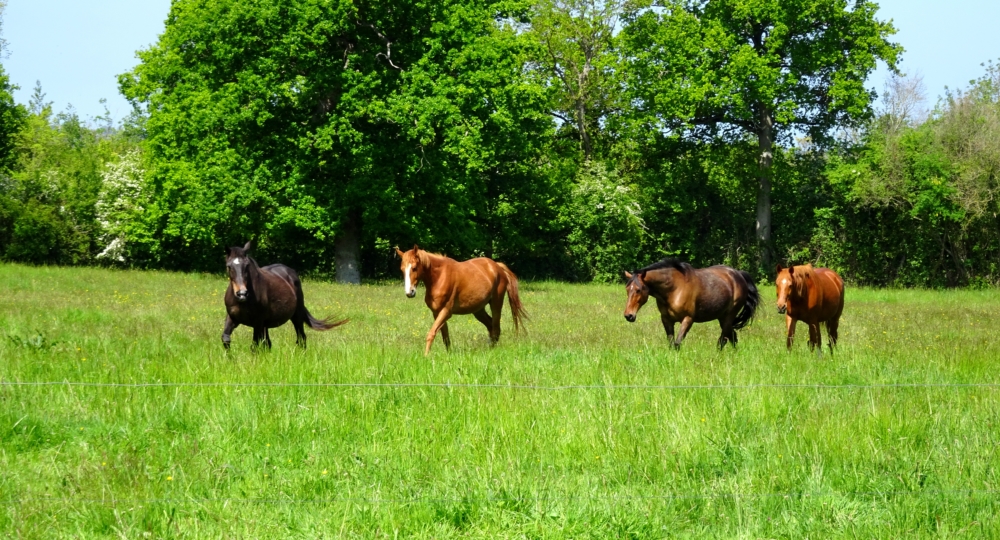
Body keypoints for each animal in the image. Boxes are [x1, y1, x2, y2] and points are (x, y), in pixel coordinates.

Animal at [394, 245, 528, 354]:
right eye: (402, 269)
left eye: (414, 267)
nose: (409, 292)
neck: (439, 278)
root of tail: (497, 266)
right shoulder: (437, 312)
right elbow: (445, 336)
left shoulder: (446, 312)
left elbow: (431, 333)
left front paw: (426, 356)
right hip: (478, 310)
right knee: (491, 326)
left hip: (496, 303)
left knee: (496, 328)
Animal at [620, 258, 760, 350]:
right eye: (627, 289)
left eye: (638, 290)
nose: (628, 315)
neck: (674, 289)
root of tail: (738, 274)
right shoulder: (666, 319)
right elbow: (671, 343)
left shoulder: (688, 319)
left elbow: (677, 343)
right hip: (722, 317)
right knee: (732, 336)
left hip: (729, 315)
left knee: (723, 339)